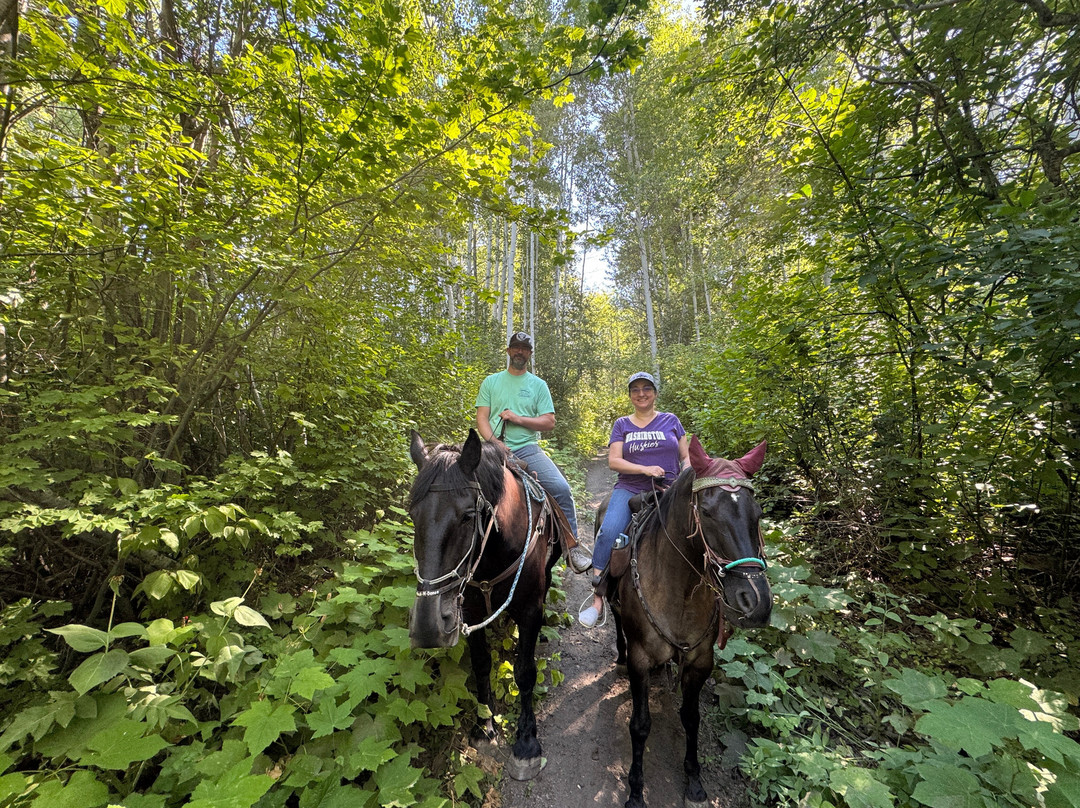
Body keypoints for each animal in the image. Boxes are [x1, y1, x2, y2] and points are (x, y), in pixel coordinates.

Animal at [407, 428, 562, 780]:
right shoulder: (471, 610)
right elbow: (480, 665)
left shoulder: (530, 610)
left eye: (467, 516)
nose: (427, 629)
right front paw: (484, 726)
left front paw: (526, 743)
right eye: (412, 514)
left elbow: (525, 672)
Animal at [606, 437, 773, 808]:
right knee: (616, 621)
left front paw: (694, 780)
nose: (756, 603)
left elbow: (691, 718)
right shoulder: (641, 659)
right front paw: (635, 790)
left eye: (758, 514)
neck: (679, 590)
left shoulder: (700, 661)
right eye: (707, 513)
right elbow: (639, 725)